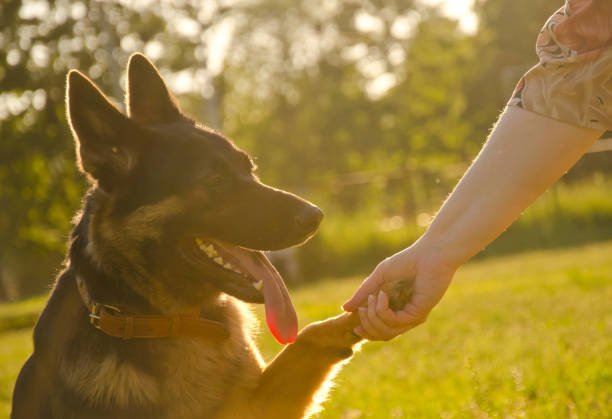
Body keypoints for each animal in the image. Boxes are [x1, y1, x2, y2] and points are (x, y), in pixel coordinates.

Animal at [10, 55, 412, 419]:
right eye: (215, 180)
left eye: (249, 168)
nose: (316, 217)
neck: (173, 322)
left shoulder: (258, 404)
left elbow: (308, 336)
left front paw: (378, 299)